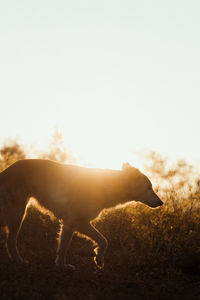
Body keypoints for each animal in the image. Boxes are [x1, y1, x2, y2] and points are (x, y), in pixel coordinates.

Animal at [0, 159, 162, 270]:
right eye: (149, 187)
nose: (161, 202)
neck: (106, 187)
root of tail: (6, 172)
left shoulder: (69, 225)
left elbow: (63, 248)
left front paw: (61, 266)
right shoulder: (76, 222)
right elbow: (104, 241)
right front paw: (99, 259)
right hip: (18, 215)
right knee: (10, 241)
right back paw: (19, 261)